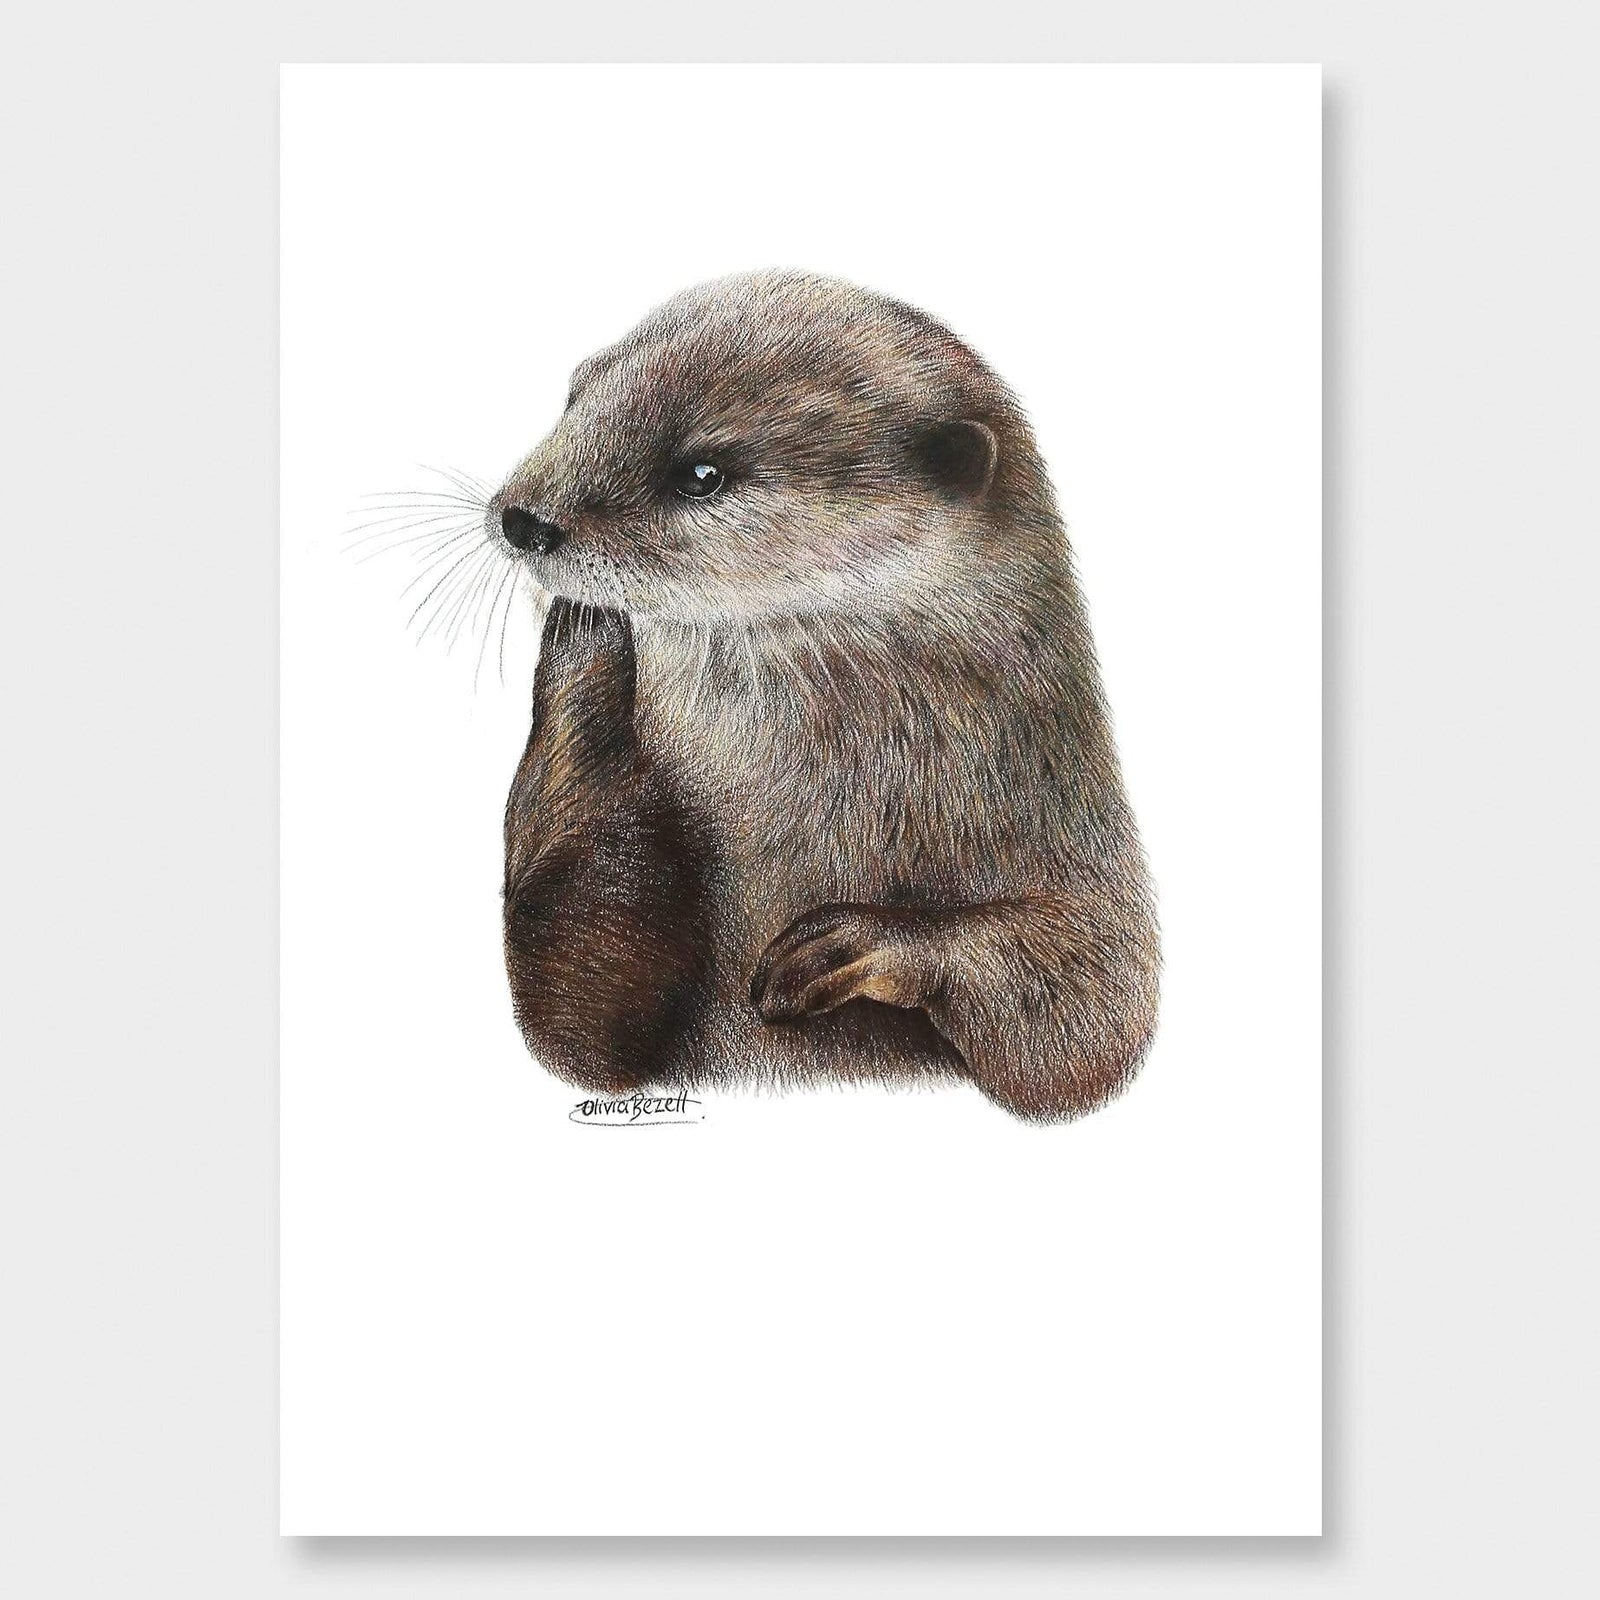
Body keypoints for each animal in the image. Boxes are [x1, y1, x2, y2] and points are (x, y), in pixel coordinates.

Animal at [489, 271, 1158, 1123]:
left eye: (701, 473)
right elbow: (580, 1026)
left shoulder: (1073, 831)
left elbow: (1100, 1007)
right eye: (576, 396)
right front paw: (584, 649)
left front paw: (855, 945)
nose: (525, 519)